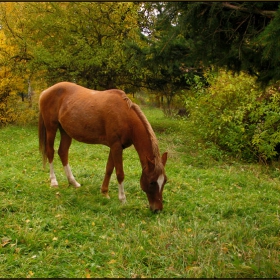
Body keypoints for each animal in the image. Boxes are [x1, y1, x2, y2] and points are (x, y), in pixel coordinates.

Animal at [38, 82, 167, 211]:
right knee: (50, 152)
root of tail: (46, 92)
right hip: (51, 128)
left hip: (65, 131)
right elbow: (120, 174)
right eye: (152, 182)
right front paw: (123, 200)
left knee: (63, 152)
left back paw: (73, 182)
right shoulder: (116, 146)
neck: (125, 116)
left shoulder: (116, 147)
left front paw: (104, 192)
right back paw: (54, 182)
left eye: (164, 181)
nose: (157, 209)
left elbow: (109, 169)